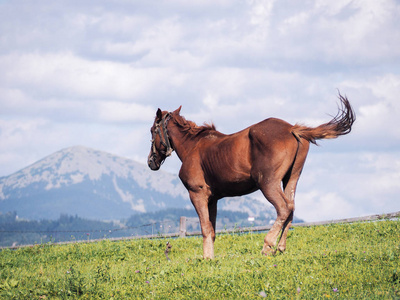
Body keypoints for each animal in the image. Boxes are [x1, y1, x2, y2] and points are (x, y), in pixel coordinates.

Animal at [148, 95, 354, 258]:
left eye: (152, 131)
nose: (151, 162)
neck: (193, 146)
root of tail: (292, 129)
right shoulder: (213, 199)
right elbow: (212, 230)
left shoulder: (197, 194)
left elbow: (205, 228)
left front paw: (207, 259)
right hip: (291, 179)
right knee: (291, 207)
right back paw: (280, 247)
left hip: (268, 183)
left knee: (284, 208)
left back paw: (268, 245)